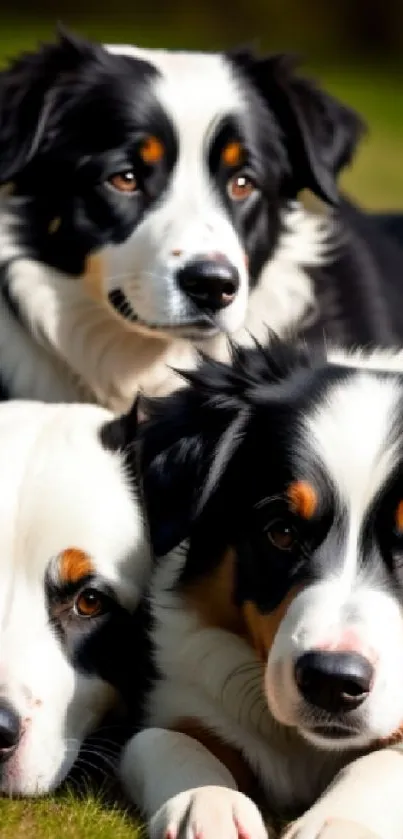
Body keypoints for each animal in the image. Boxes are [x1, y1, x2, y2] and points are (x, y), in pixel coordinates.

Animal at [119, 342, 403, 839]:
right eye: (282, 532)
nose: (331, 682)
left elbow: (384, 762)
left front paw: (339, 821)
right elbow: (162, 736)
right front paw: (204, 803)